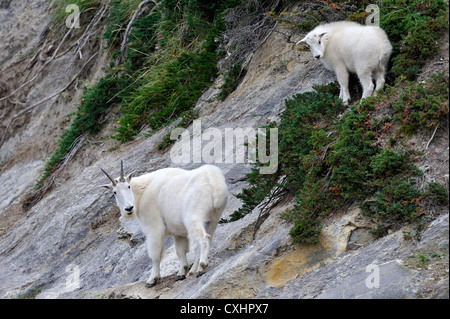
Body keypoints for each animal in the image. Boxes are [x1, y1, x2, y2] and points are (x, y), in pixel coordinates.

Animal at [101, 161, 229, 288]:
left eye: (128, 186)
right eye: (115, 192)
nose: (129, 208)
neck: (142, 192)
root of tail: (213, 182)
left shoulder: (154, 228)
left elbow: (155, 254)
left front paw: (152, 279)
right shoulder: (178, 233)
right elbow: (180, 251)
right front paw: (181, 273)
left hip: (193, 218)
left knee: (204, 239)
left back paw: (201, 268)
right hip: (214, 219)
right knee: (206, 240)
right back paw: (193, 270)